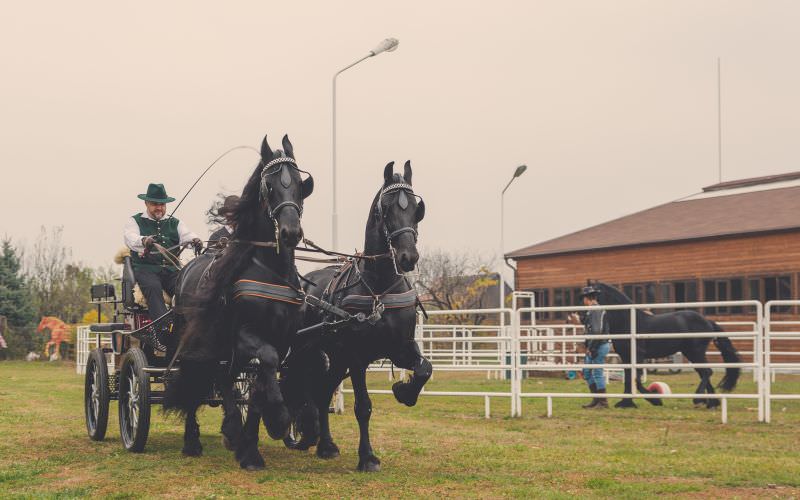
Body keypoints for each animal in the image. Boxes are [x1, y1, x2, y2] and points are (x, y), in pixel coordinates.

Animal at [164, 133, 314, 468]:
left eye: (300, 184)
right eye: (269, 185)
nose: (290, 232)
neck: (272, 271)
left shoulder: (283, 338)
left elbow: (258, 389)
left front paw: (251, 449)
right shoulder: (246, 335)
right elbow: (266, 363)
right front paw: (277, 420)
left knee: (224, 377)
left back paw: (232, 432)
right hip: (199, 338)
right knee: (202, 377)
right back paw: (194, 440)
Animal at [284, 161, 428, 472]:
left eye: (416, 208)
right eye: (385, 209)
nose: (408, 257)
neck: (379, 287)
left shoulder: (401, 347)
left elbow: (424, 369)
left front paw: (404, 390)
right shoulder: (357, 356)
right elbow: (363, 407)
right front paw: (368, 457)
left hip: (336, 357)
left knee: (322, 390)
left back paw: (326, 445)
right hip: (309, 351)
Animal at [592, 280, 740, 408]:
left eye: (594, 293)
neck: (630, 322)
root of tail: (707, 321)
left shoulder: (638, 356)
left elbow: (636, 381)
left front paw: (655, 400)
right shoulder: (626, 357)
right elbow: (629, 380)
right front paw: (625, 403)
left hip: (695, 352)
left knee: (707, 372)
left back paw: (698, 399)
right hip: (691, 353)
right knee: (704, 373)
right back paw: (712, 403)